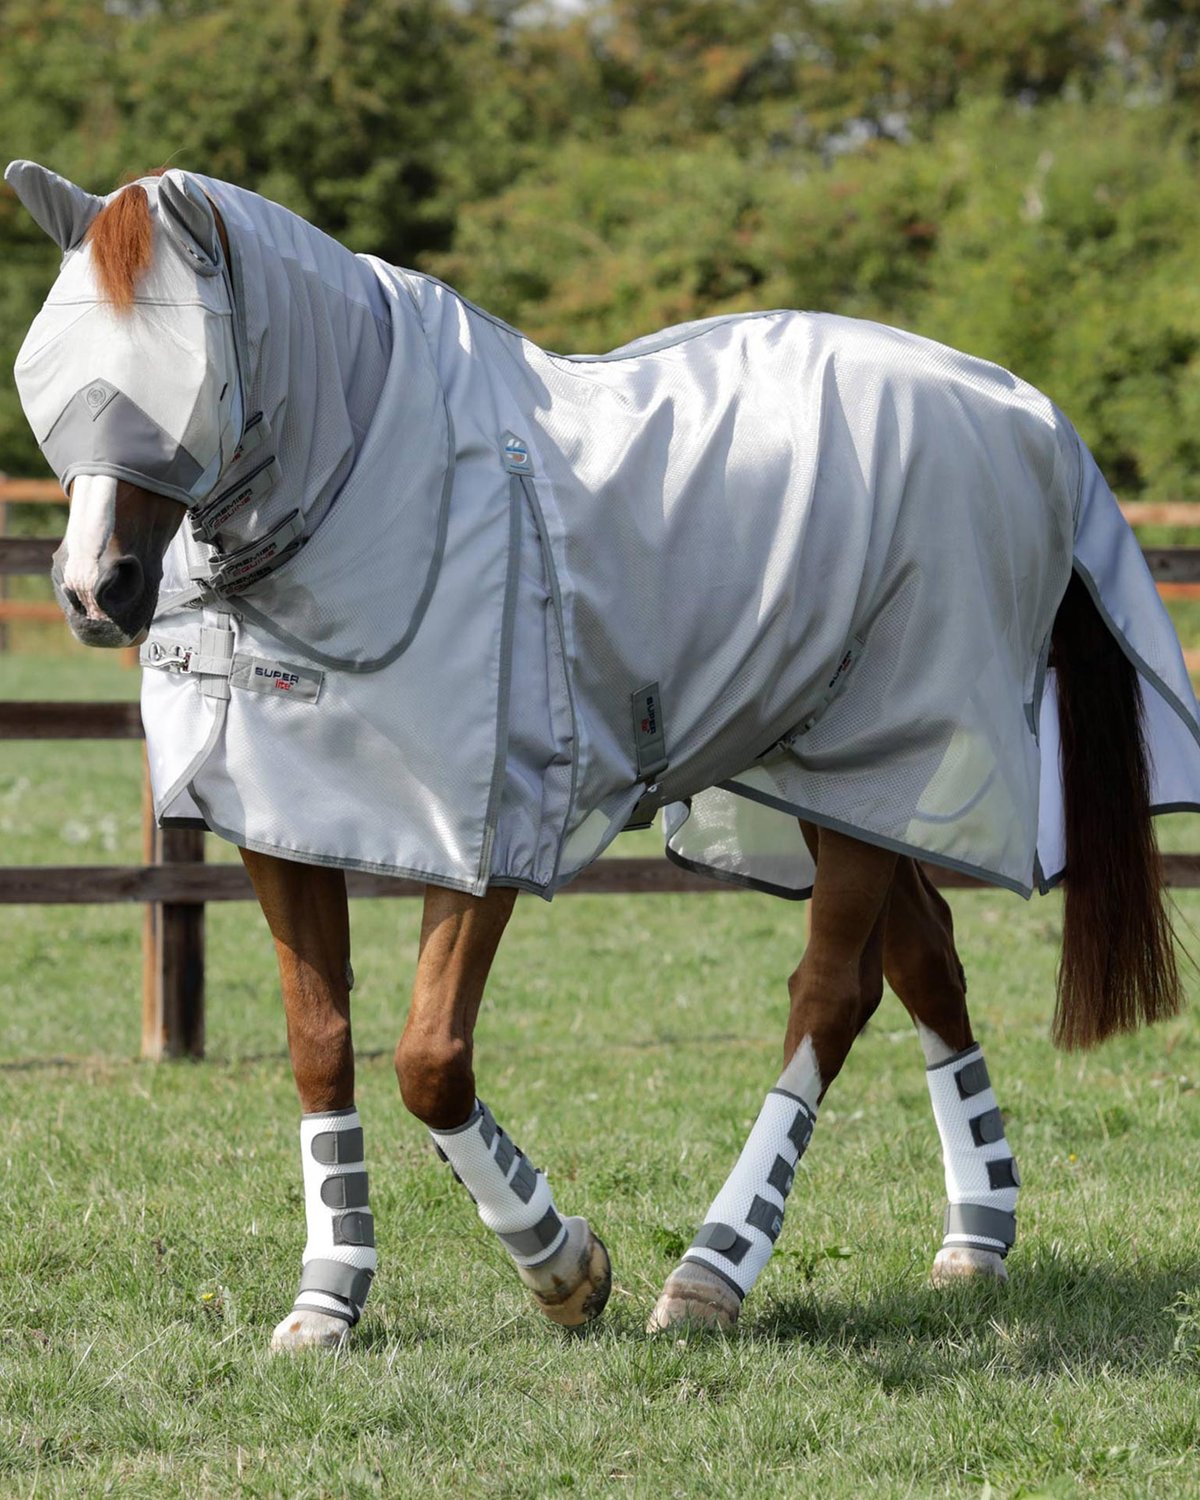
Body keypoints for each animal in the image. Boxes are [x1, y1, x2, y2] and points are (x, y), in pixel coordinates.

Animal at [7, 159, 1198, 1351]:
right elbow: (320, 1042)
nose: (96, 588)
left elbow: (429, 1061)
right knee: (923, 964)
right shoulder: (283, 822)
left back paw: (714, 1272)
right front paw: (327, 1295)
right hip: (836, 782)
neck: (379, 489)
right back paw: (976, 1236)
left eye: (189, 369)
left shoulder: (493, 828)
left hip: (886, 751)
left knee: (830, 994)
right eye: (53, 363)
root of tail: (1022, 409)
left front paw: (565, 1267)